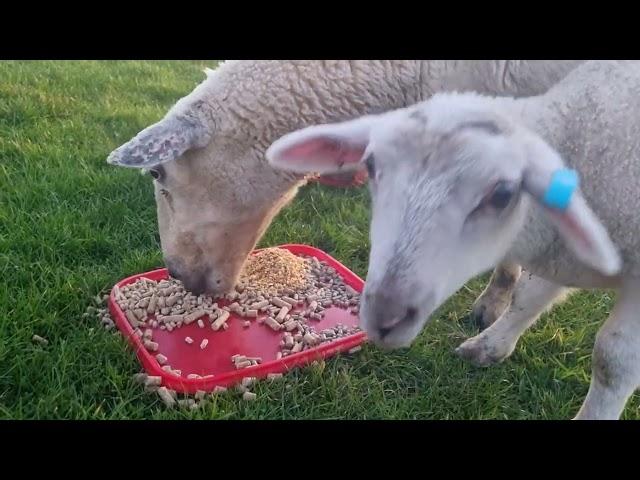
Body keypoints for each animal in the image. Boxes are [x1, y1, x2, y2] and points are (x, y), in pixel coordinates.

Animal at [264, 60, 640, 420]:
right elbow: (527, 298)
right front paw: (490, 345)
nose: (384, 318)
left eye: (503, 194)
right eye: (370, 164)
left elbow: (612, 361)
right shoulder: (560, 251)